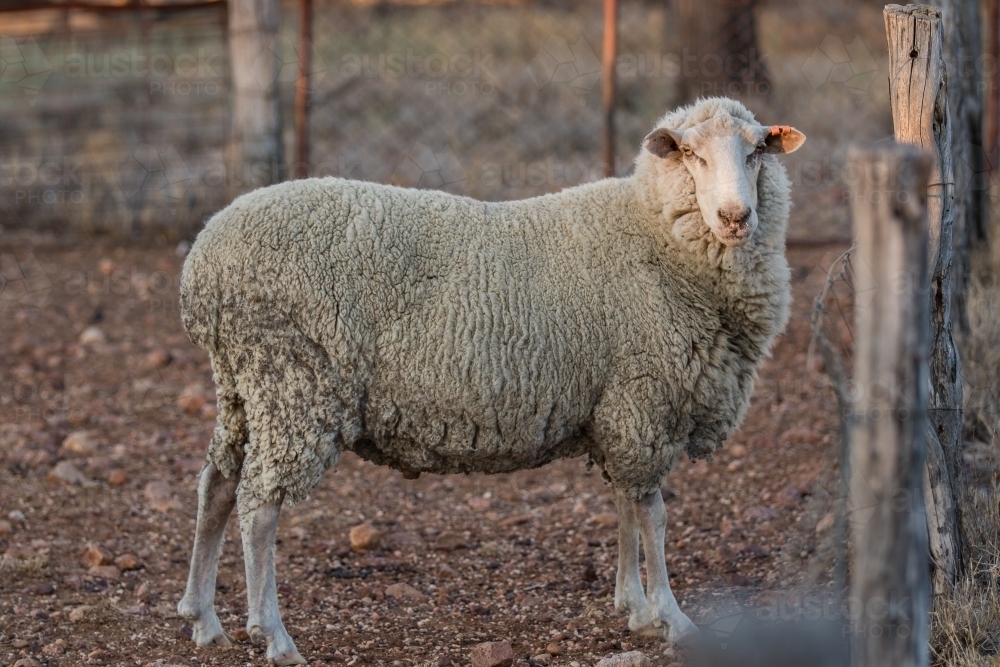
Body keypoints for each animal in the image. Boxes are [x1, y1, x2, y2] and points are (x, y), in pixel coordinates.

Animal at [178, 96, 804, 664]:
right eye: (692, 155)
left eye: (756, 151)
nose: (735, 218)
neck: (654, 233)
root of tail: (202, 264)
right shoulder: (646, 399)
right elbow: (653, 514)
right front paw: (671, 617)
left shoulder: (617, 406)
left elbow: (626, 507)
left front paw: (635, 608)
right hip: (294, 382)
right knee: (259, 504)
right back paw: (273, 635)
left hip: (243, 386)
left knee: (217, 485)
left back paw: (204, 619)